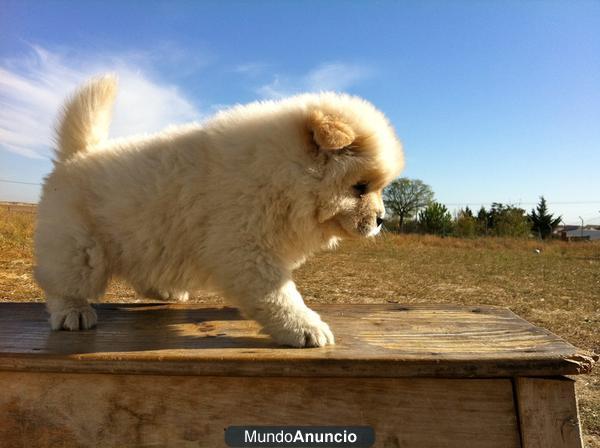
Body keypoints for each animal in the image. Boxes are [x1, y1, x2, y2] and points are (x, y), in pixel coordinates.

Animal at [34, 75, 404, 346]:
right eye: (360, 187)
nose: (381, 220)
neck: (285, 173)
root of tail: (77, 155)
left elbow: (274, 291)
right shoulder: (246, 250)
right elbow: (279, 295)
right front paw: (306, 329)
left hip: (146, 239)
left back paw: (166, 291)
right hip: (79, 247)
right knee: (61, 283)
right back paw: (73, 313)